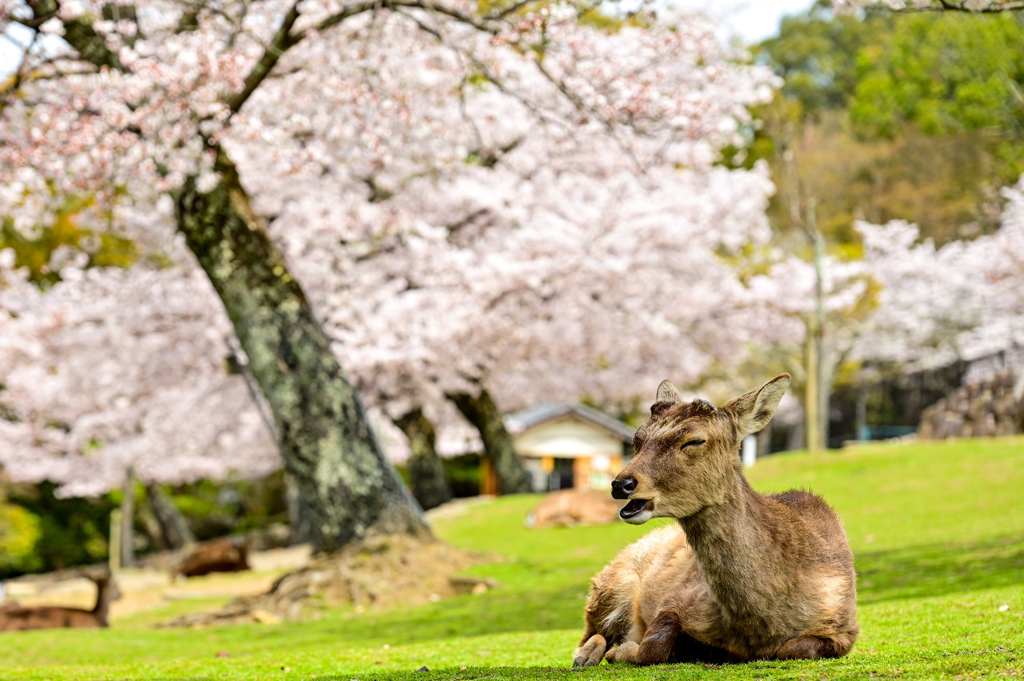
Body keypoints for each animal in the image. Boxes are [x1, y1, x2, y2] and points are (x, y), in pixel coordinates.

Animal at [573, 372, 860, 663]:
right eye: (638, 439)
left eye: (695, 440)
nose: (621, 484)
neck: (760, 627)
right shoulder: (680, 596)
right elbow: (652, 647)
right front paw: (624, 650)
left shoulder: (844, 628)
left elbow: (793, 648)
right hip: (611, 583)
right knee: (587, 634)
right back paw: (586, 657)